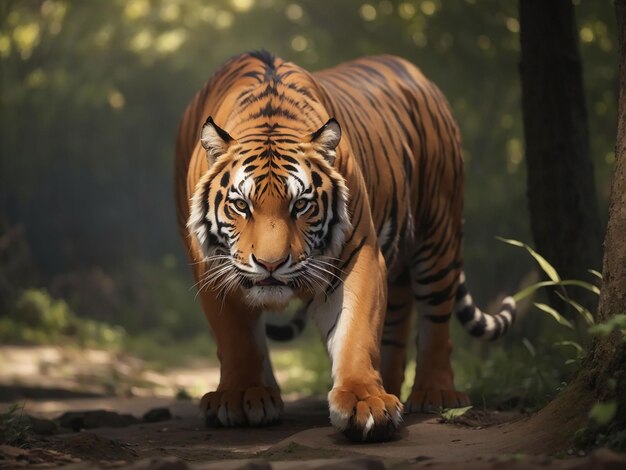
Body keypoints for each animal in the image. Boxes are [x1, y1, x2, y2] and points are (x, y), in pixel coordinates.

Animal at [173, 50, 516, 440]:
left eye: (301, 205)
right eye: (241, 206)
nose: (271, 264)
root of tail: (414, 70)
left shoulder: (358, 253)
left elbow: (355, 332)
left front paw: (365, 401)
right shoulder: (213, 266)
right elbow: (236, 336)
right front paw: (242, 394)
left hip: (439, 228)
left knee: (436, 318)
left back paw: (435, 393)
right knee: (398, 318)